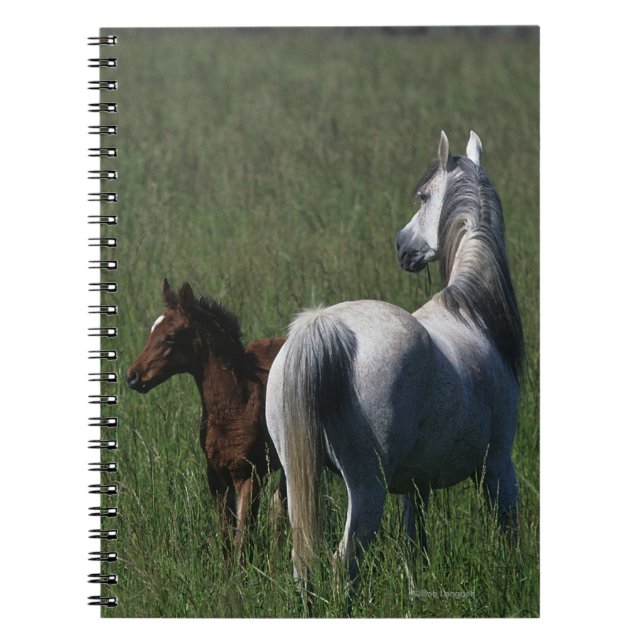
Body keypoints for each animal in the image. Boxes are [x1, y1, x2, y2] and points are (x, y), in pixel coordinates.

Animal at [126, 279, 286, 552]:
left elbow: (242, 538)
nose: (133, 376)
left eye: (171, 336)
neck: (236, 404)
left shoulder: (250, 476)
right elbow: (226, 540)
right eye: (151, 331)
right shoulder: (216, 478)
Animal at [265, 131, 524, 598]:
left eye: (423, 197)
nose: (402, 246)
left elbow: (413, 549)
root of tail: (323, 326)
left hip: (298, 479)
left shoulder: (414, 486)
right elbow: (509, 535)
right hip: (367, 489)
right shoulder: (499, 468)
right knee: (342, 565)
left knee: (303, 563)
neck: (470, 313)